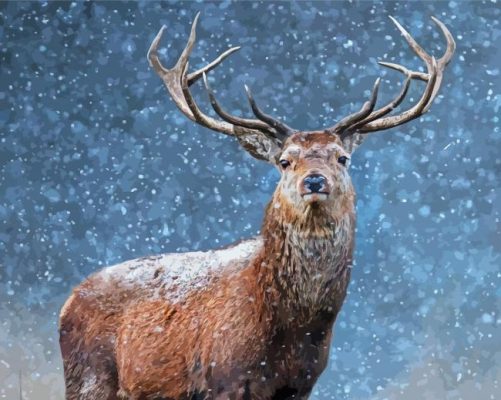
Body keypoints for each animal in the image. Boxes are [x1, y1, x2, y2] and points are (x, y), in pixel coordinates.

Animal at [57, 14, 454, 400]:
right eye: (284, 161)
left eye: (342, 158)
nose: (314, 181)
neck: (291, 326)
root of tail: (68, 302)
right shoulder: (222, 378)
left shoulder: (299, 385)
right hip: (90, 377)